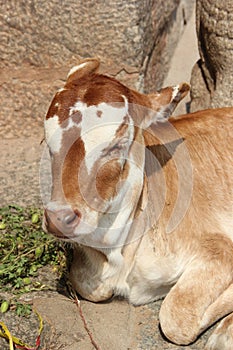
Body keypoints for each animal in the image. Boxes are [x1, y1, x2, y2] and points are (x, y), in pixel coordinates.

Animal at [42, 58, 233, 350]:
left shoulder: (220, 249)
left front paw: (225, 332)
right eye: (48, 141)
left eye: (116, 145)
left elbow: (176, 317)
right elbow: (87, 282)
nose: (58, 218)